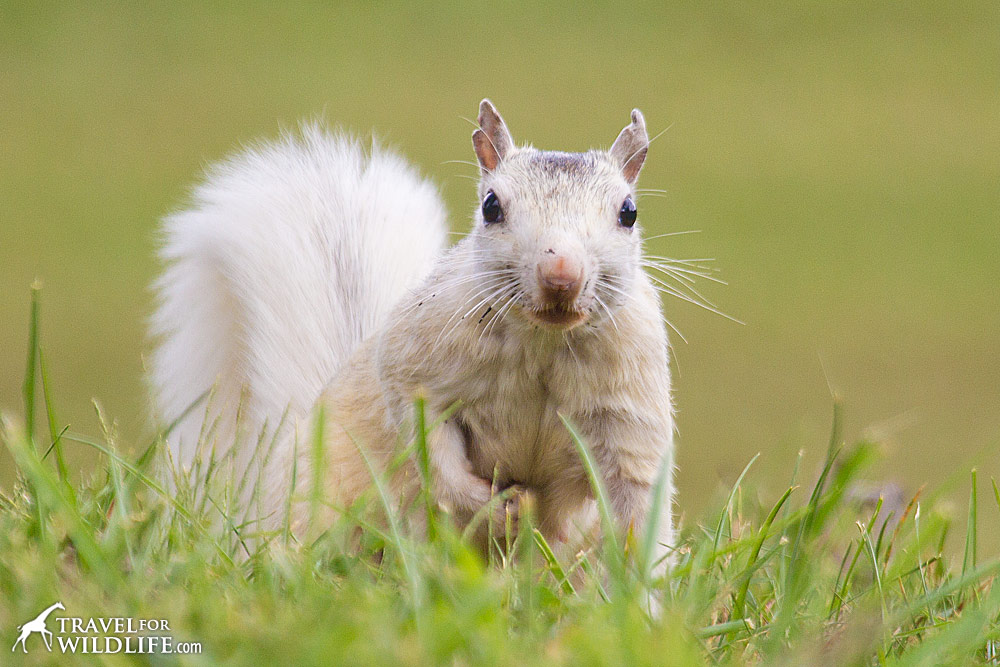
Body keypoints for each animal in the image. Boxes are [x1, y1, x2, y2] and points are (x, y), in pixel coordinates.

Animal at [148, 100, 676, 568]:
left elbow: (634, 501)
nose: (560, 274)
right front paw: (492, 506)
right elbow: (430, 445)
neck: (543, 341)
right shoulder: (416, 368)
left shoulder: (629, 411)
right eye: (491, 206)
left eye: (628, 212)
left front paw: (635, 591)